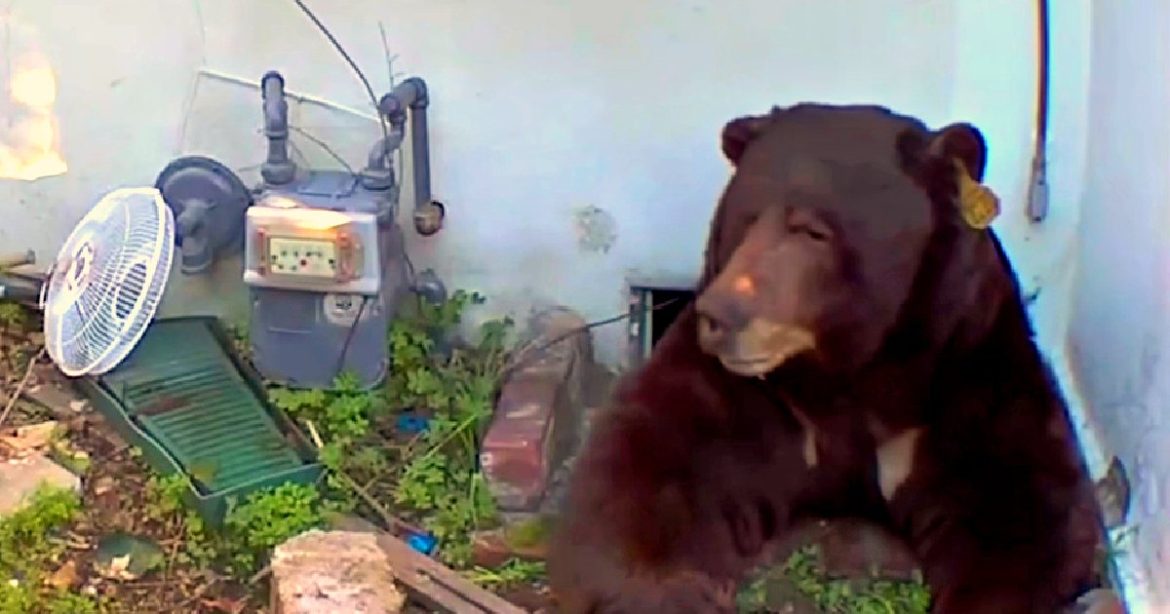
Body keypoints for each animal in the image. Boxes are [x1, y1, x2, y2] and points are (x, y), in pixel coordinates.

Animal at [546, 103, 1104, 614]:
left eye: (812, 230)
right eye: (745, 219)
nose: (720, 316)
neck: (853, 366)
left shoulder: (967, 366)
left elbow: (1026, 513)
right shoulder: (747, 396)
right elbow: (646, 474)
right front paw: (669, 591)